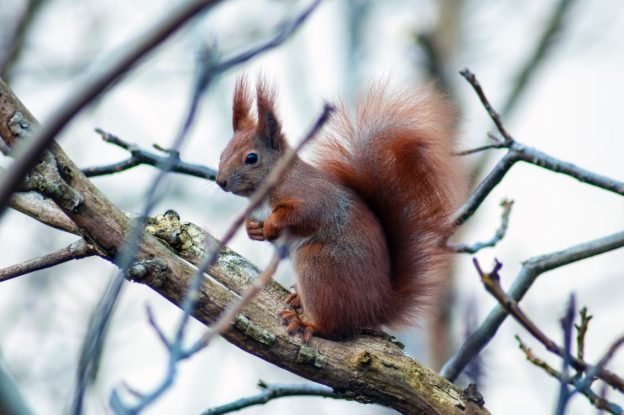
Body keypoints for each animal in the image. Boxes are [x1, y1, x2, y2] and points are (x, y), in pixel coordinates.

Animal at [217, 77, 466, 342]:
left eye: (251, 158)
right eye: (223, 153)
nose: (220, 181)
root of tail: (375, 308)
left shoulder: (312, 197)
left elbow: (302, 214)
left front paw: (271, 226)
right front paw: (252, 229)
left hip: (317, 264)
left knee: (336, 327)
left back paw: (307, 324)